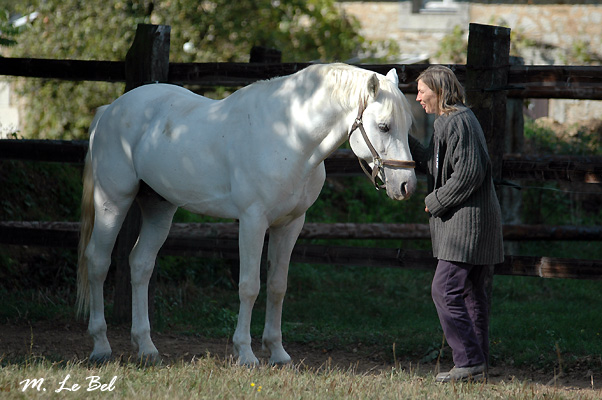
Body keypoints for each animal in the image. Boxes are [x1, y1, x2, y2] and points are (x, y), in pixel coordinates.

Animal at [75, 61, 414, 366]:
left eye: (409, 126)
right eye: (383, 126)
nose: (406, 185)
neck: (291, 136)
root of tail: (110, 109)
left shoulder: (290, 225)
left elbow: (277, 286)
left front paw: (278, 353)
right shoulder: (253, 221)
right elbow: (249, 286)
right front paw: (246, 353)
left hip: (159, 206)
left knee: (141, 264)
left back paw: (146, 348)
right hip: (113, 201)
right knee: (98, 262)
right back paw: (101, 346)